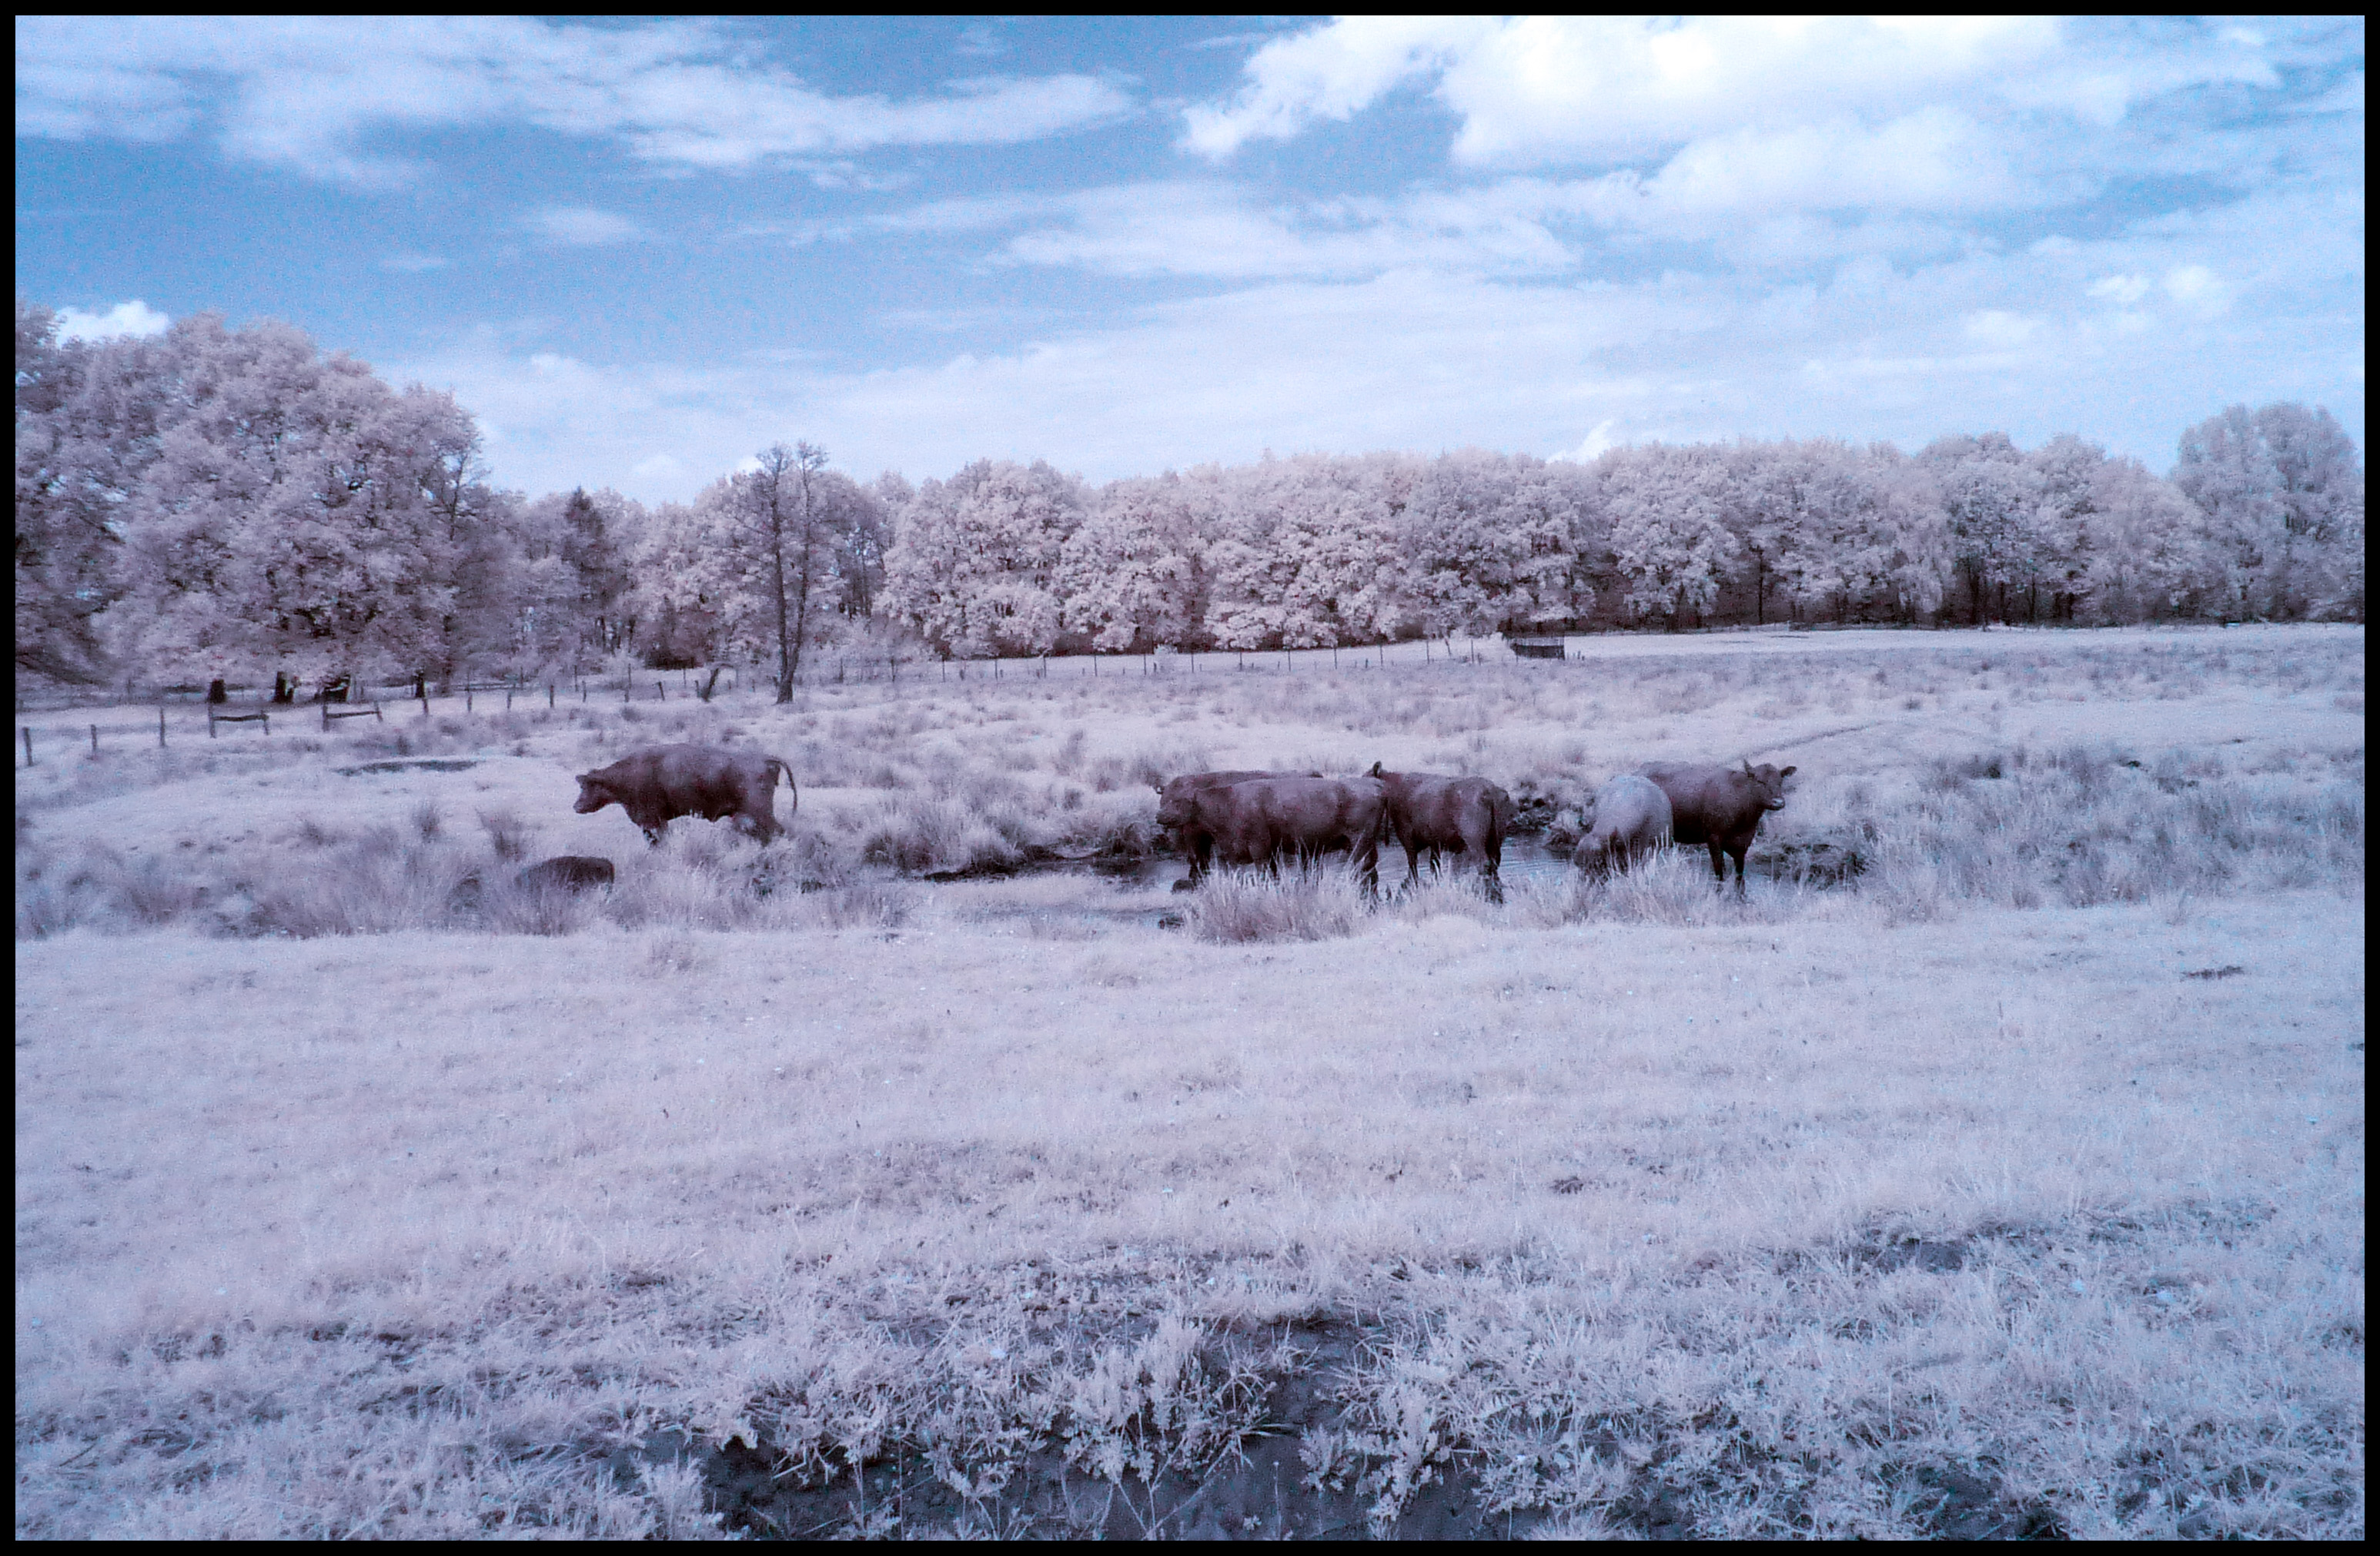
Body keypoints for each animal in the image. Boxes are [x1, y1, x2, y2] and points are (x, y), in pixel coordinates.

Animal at [573, 747, 799, 847]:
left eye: (587, 785)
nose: (576, 806)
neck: (627, 775)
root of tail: (764, 758)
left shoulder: (655, 822)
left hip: (761, 813)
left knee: (777, 831)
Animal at [1370, 766, 1513, 909]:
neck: (1395, 787)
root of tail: (1490, 790)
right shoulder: (1435, 843)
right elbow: (1434, 866)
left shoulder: (1407, 837)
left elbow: (1413, 868)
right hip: (1495, 840)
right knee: (1494, 864)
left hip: (1474, 840)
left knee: (1483, 863)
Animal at [1646, 761, 1790, 894]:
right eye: (1760, 781)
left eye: (1780, 781)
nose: (1778, 802)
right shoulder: (1714, 838)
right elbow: (1719, 868)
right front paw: (1719, 891)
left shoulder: (1744, 841)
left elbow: (1739, 871)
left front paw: (1741, 895)